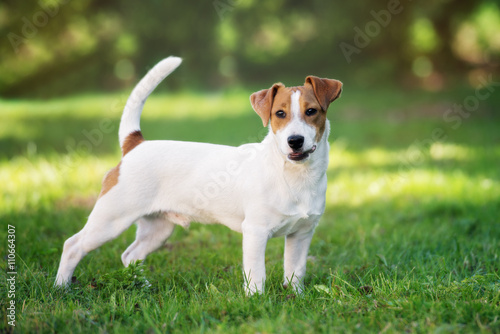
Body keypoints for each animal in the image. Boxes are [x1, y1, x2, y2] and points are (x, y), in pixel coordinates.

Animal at [55, 57, 344, 294]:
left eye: (311, 111)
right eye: (279, 114)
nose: (295, 141)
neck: (294, 176)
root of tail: (135, 145)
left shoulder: (301, 235)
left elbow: (296, 272)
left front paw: (296, 297)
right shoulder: (255, 232)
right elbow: (256, 275)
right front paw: (256, 301)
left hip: (158, 229)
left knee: (131, 255)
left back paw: (143, 287)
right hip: (110, 220)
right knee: (73, 245)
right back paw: (61, 288)